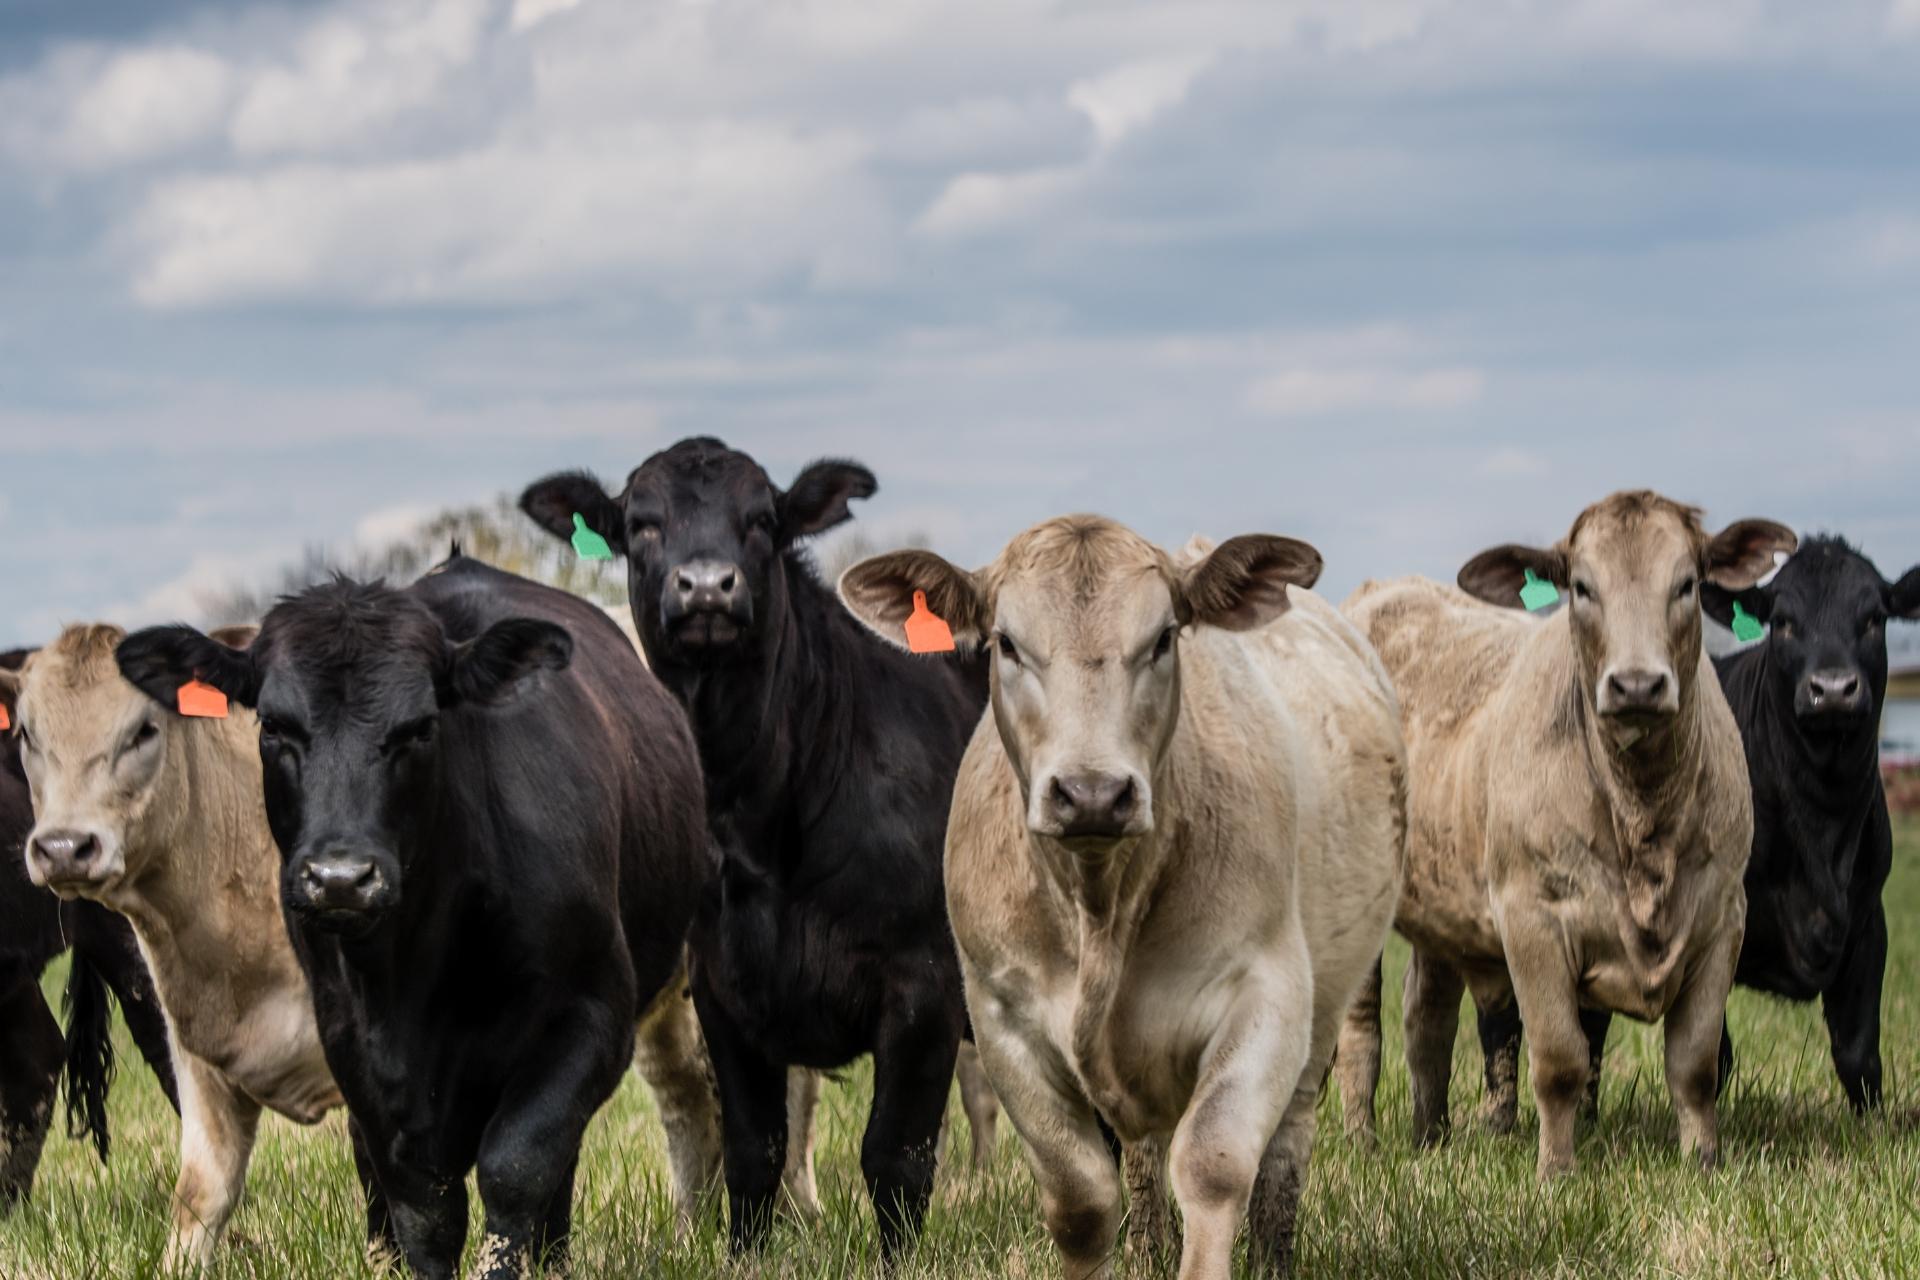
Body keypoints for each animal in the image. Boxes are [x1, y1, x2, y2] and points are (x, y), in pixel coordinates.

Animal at [117, 555, 722, 1280]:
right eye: (273, 728)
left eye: (420, 728)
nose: (341, 878)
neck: (430, 958)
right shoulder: (358, 1049)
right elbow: (424, 1208)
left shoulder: (590, 1016)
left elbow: (518, 1166)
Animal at [520, 437, 997, 1259]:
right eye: (641, 523)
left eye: (763, 520)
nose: (707, 586)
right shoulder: (725, 989)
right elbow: (753, 1149)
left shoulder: (924, 985)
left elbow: (895, 1154)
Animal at [839, 516, 1406, 1280]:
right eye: (1006, 643)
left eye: (1164, 637)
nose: (1092, 794)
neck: (1100, 906)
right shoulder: (1002, 1019)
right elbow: (1080, 1201)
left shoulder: (1267, 997)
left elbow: (1214, 1167)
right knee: (1141, 1155)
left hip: (1322, 1012)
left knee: (1283, 1149)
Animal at [1338, 491, 1795, 1178]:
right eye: (1582, 587)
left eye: (1686, 583)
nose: (1637, 684)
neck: (1642, 816)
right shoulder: (1531, 916)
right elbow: (1559, 1061)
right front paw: (1556, 1170)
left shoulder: (1722, 918)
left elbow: (1694, 1064)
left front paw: (1704, 1161)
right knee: (1361, 1028)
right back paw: (1361, 1140)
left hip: (1440, 908)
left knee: (1427, 1020)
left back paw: (1431, 1137)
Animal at [1496, 537, 1920, 1116]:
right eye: (1782, 621)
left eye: (1875, 617)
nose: (1832, 689)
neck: (1819, 817)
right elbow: (1712, 1054)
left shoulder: (1866, 919)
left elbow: (1858, 1051)